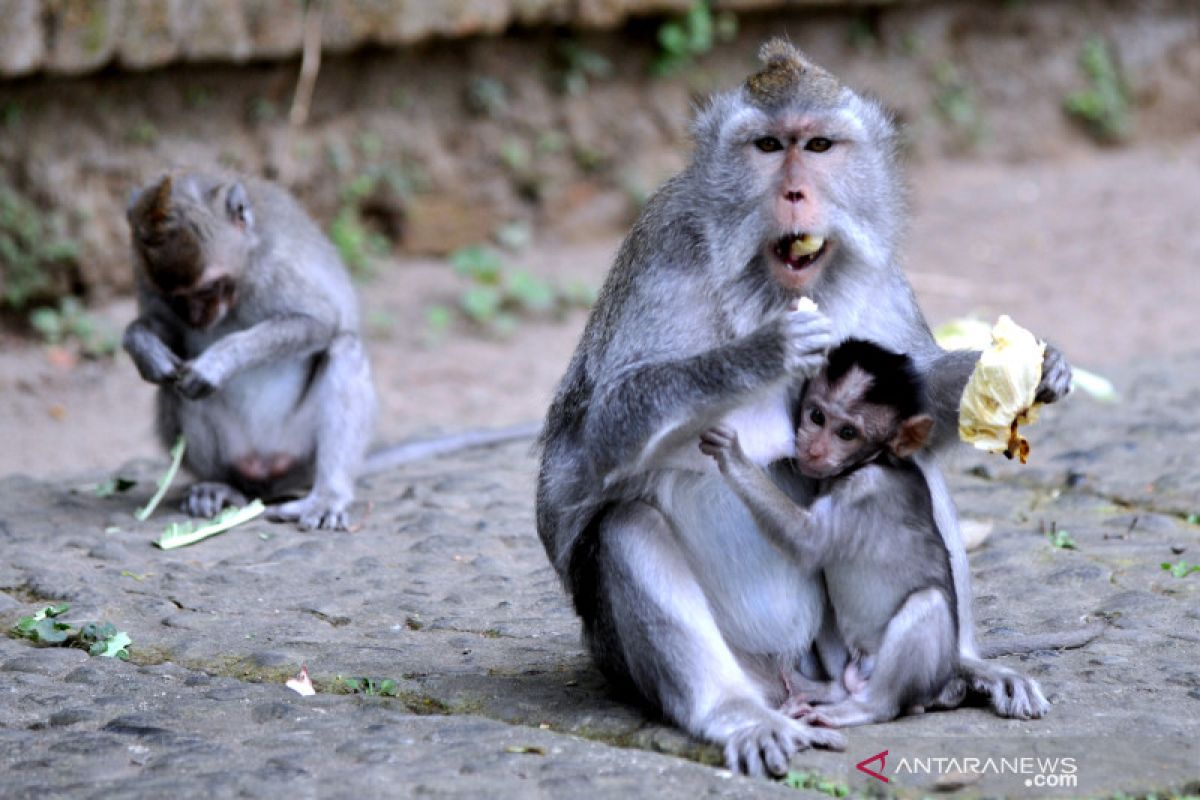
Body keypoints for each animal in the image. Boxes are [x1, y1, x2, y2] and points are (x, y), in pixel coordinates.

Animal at [124, 170, 372, 532]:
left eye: (208, 288)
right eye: (176, 297)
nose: (196, 317)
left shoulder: (274, 267)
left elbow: (319, 321)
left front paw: (219, 361)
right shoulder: (144, 277)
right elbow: (165, 331)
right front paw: (145, 350)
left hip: (299, 450)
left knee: (346, 349)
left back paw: (327, 496)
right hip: (237, 453)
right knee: (179, 388)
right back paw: (221, 487)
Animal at [700, 340, 964, 729]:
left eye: (847, 433)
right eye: (817, 417)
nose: (814, 449)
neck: (871, 461)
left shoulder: (865, 491)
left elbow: (808, 542)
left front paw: (734, 457)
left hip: (921, 670)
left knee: (926, 604)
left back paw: (861, 708)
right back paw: (823, 689)